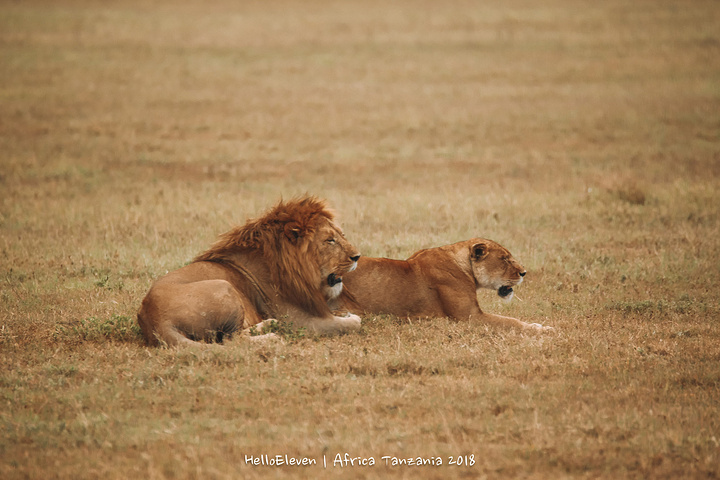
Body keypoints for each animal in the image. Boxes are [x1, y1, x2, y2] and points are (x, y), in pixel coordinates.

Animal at [136, 197, 360, 346]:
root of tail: (155, 318)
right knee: (230, 340)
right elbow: (347, 325)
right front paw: (351, 318)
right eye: (329, 240)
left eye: (341, 235)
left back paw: (269, 324)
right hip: (223, 287)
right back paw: (272, 336)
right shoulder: (298, 321)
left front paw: (342, 312)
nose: (357, 256)